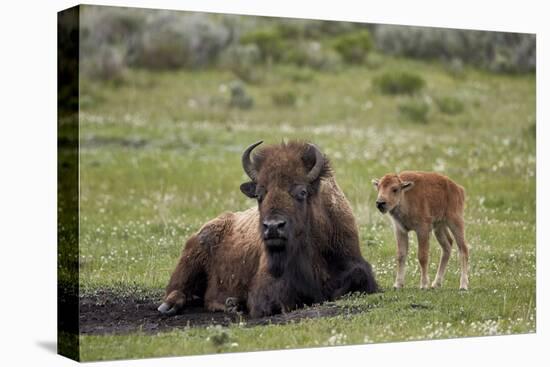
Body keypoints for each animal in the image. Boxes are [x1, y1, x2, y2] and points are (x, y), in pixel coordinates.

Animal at [160, 141, 380, 320]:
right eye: (259, 194)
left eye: (302, 192)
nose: (273, 227)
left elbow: (356, 277)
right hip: (190, 261)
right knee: (178, 289)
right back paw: (170, 307)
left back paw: (233, 304)